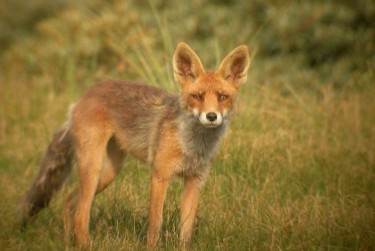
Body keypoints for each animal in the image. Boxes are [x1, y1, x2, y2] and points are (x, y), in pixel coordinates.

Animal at [19, 42, 251, 248]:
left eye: (223, 97)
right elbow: (155, 225)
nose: (211, 116)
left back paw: (69, 243)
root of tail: (84, 95)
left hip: (108, 173)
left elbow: (186, 231)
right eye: (197, 96)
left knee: (70, 202)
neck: (192, 146)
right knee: (81, 212)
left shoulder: (195, 181)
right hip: (93, 168)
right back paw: (85, 244)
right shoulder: (159, 176)